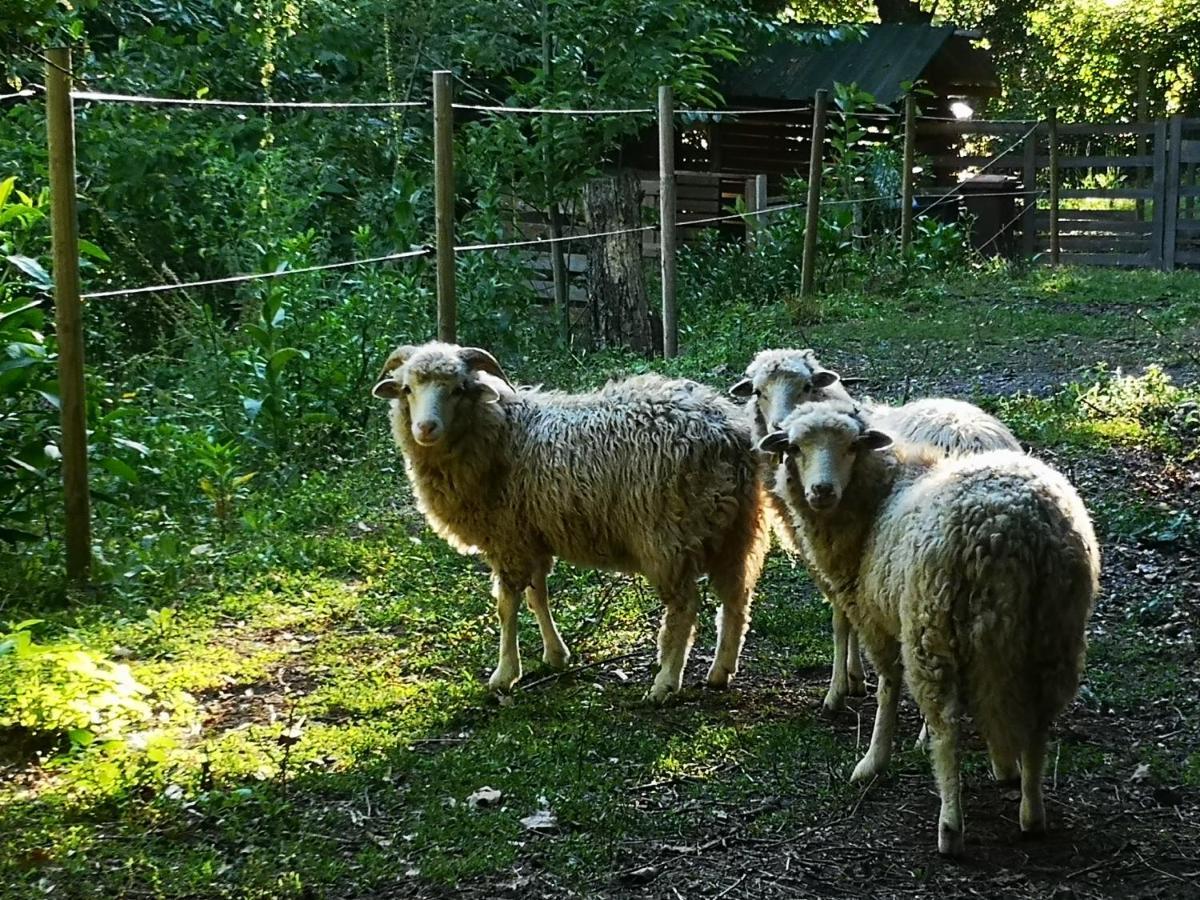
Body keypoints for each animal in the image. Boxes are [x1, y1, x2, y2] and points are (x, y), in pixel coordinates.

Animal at [369, 345, 772, 705]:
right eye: (407, 389)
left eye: (458, 389)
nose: (425, 428)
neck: (502, 433)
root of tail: (728, 433)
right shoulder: (531, 535)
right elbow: (538, 597)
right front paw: (556, 656)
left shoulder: (508, 539)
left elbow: (506, 606)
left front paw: (504, 674)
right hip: (737, 528)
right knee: (736, 599)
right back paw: (720, 672)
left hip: (668, 535)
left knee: (685, 607)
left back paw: (665, 683)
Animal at [724, 348, 1017, 715]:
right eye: (758, 391)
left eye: (806, 385)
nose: (780, 426)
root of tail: (975, 441)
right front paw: (855, 676)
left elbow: (841, 617)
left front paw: (841, 686)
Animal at [758, 403, 1099, 859]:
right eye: (794, 448)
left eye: (851, 446)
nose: (822, 491)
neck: (880, 496)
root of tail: (1017, 527)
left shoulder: (877, 618)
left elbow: (887, 686)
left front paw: (873, 760)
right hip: (1054, 627)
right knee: (1039, 720)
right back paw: (1031, 811)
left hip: (932, 623)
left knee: (947, 727)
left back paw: (950, 826)